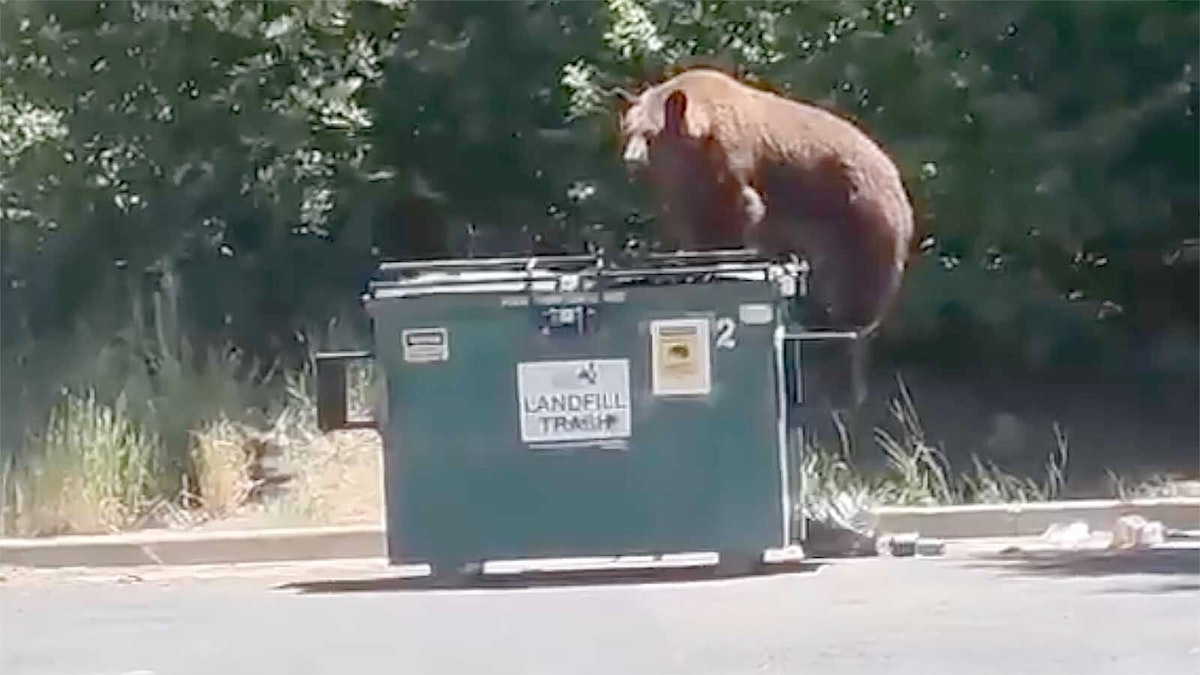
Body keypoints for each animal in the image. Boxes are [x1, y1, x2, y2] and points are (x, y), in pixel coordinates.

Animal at [616, 67, 916, 335]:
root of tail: (894, 171)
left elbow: (734, 209)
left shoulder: (728, 158)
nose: (631, 161)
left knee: (861, 273)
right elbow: (694, 217)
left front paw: (718, 261)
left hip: (859, 211)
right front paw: (689, 260)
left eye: (650, 134)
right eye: (628, 131)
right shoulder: (683, 179)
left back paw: (844, 318)